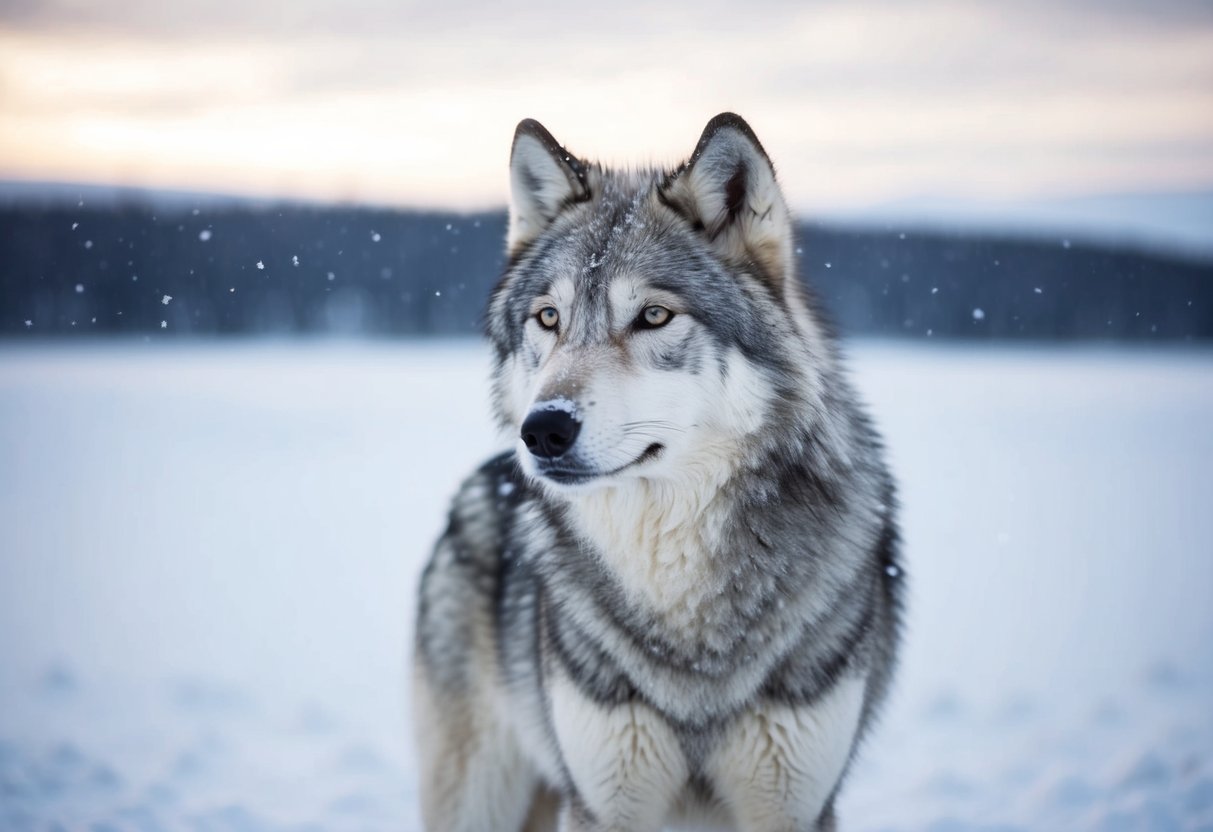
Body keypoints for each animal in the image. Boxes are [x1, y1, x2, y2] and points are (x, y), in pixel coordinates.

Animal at [413, 113, 903, 832]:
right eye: (549, 318)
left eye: (652, 316)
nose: (542, 430)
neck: (678, 588)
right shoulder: (604, 800)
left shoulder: (795, 804)